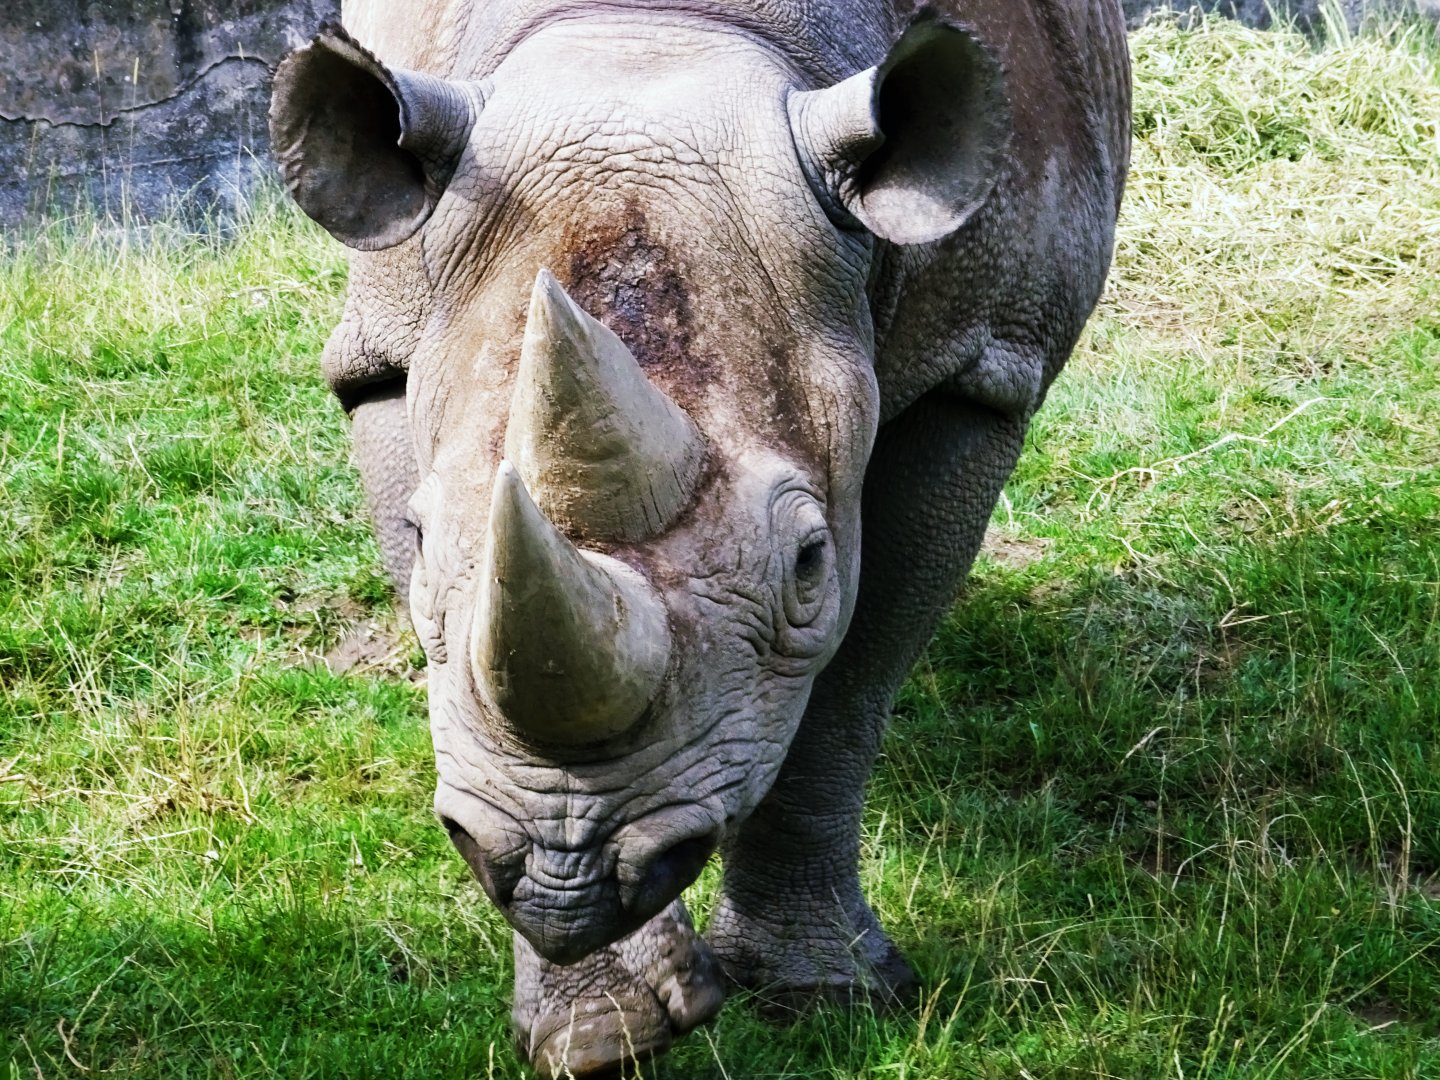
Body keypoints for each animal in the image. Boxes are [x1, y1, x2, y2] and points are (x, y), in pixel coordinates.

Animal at [269, 0, 1130, 1073]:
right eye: (423, 541)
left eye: (807, 565)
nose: (560, 875)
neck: (656, 38)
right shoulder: (383, 348)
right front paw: (601, 1033)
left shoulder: (981, 366)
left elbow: (850, 680)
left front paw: (826, 995)